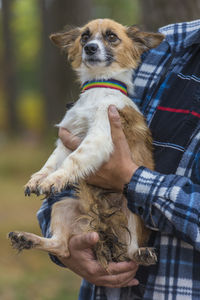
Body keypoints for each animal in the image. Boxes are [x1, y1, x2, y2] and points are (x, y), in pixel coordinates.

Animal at [8, 18, 163, 268]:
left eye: (112, 37)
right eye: (84, 37)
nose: (89, 48)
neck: (98, 88)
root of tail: (100, 225)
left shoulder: (98, 136)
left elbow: (73, 159)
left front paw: (54, 179)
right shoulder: (67, 136)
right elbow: (51, 162)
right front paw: (39, 178)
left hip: (132, 210)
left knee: (130, 253)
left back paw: (143, 253)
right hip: (63, 206)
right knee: (61, 246)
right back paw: (26, 239)